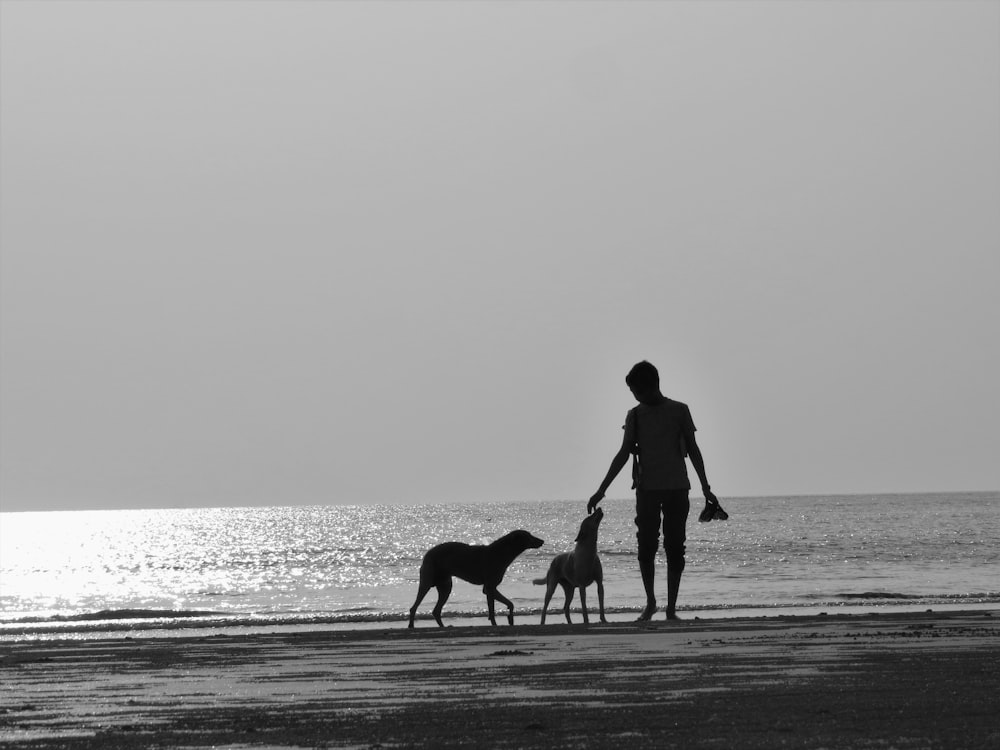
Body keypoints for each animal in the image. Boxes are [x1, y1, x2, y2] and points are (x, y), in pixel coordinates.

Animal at [408, 532, 544, 632]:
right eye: (529, 536)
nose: (542, 541)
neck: (502, 552)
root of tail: (427, 554)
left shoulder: (490, 588)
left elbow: (510, 604)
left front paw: (510, 618)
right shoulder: (489, 587)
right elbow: (492, 610)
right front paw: (495, 623)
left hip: (445, 585)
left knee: (436, 610)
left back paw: (443, 627)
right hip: (427, 581)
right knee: (414, 606)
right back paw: (411, 625)